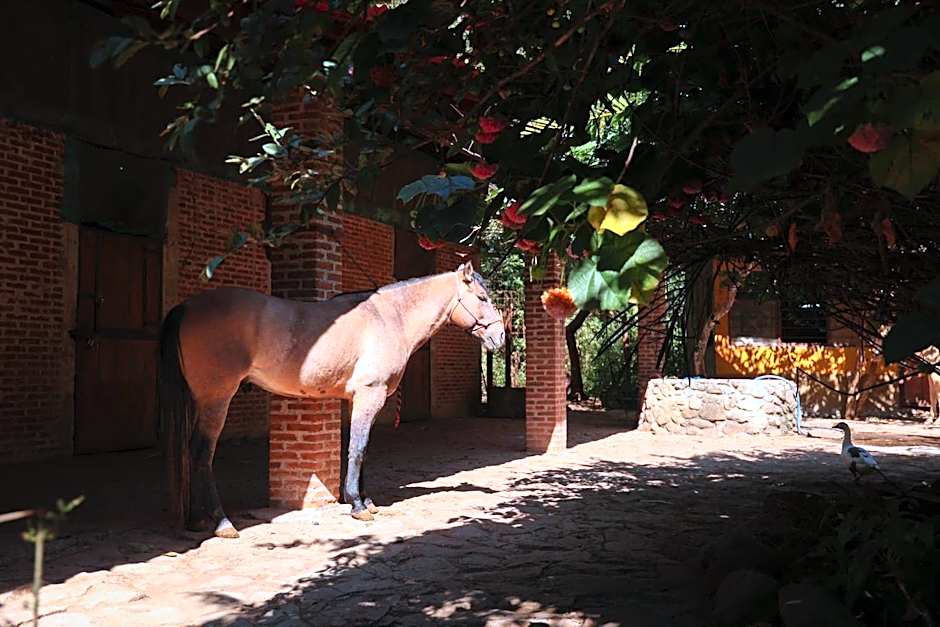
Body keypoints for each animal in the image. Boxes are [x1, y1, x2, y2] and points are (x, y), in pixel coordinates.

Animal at [158, 262, 505, 538]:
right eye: (482, 298)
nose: (500, 337)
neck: (390, 318)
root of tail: (186, 307)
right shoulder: (370, 394)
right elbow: (358, 449)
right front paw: (357, 505)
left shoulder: (356, 400)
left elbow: (360, 449)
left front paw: (365, 500)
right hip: (217, 399)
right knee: (201, 453)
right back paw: (222, 523)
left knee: (189, 452)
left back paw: (196, 520)